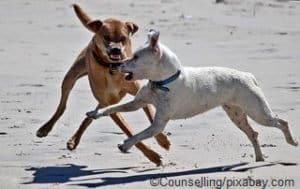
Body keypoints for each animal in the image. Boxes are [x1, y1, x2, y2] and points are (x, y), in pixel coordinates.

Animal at [35, 4, 169, 165]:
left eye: (123, 38)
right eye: (106, 37)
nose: (116, 49)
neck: (112, 68)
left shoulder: (136, 94)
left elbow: (151, 115)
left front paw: (162, 140)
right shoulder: (109, 104)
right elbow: (128, 130)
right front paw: (152, 155)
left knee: (91, 114)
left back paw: (74, 139)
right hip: (72, 76)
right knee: (62, 105)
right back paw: (46, 128)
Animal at [86, 29, 298, 162]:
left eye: (136, 57)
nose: (116, 64)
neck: (163, 82)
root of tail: (248, 75)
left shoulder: (158, 124)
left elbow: (140, 135)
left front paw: (125, 145)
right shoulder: (137, 103)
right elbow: (112, 108)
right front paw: (95, 113)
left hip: (258, 112)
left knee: (282, 122)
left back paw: (292, 142)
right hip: (236, 114)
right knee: (253, 133)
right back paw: (259, 157)